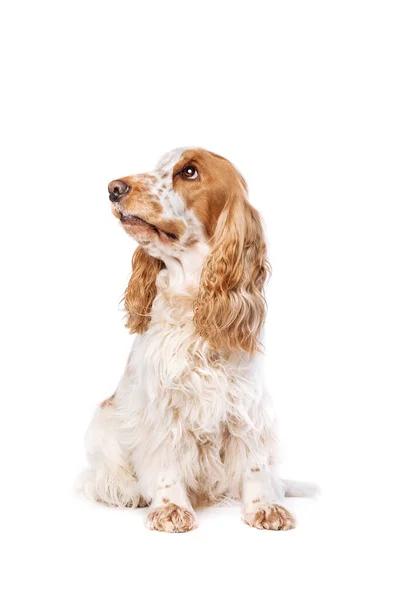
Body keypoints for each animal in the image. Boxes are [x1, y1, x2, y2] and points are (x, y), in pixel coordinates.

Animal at [83, 148, 316, 532]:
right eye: (160, 166)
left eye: (189, 172)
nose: (114, 188)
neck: (192, 295)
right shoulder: (161, 405)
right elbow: (165, 460)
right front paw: (170, 509)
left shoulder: (245, 402)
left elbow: (254, 462)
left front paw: (265, 507)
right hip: (103, 421)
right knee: (102, 476)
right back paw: (128, 491)